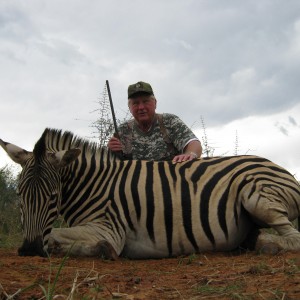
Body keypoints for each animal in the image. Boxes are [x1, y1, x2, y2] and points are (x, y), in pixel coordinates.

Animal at [0, 127, 300, 258]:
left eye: (53, 197)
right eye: (19, 195)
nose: (29, 250)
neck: (94, 184)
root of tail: (278, 167)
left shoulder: (109, 228)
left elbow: (56, 236)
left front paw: (100, 249)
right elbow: (54, 236)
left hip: (256, 195)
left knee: (293, 238)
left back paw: (266, 245)